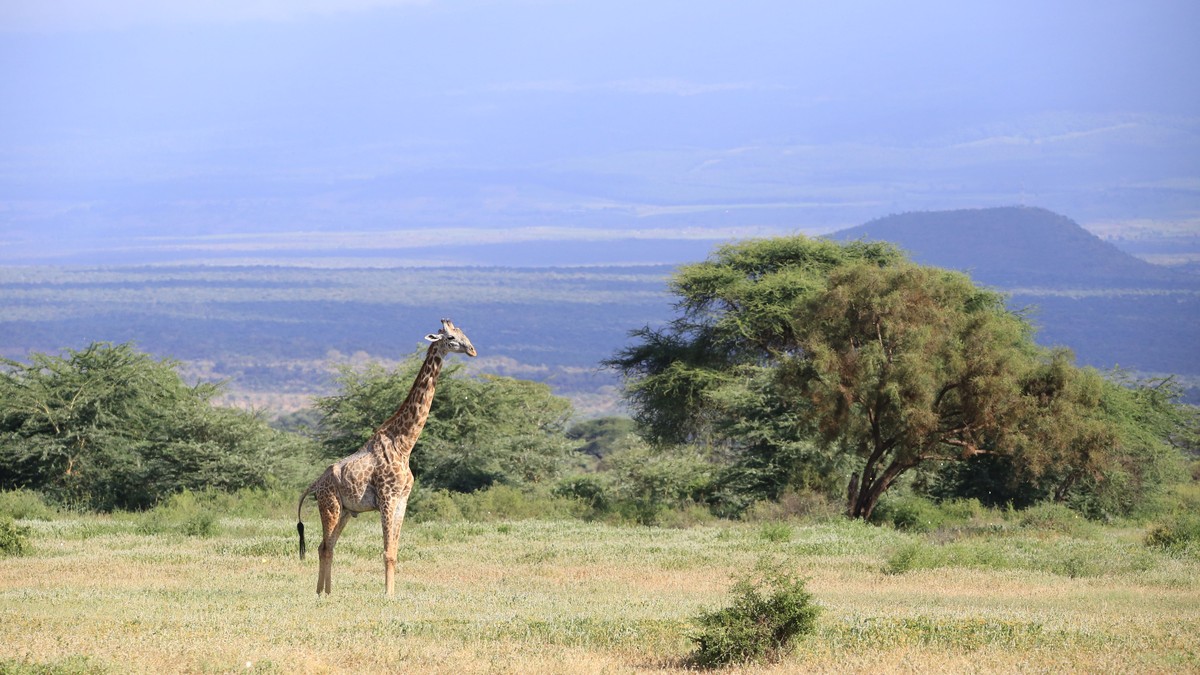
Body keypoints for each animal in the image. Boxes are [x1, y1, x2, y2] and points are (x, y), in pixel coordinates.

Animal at [296, 318, 476, 596]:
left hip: (346, 511)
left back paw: (326, 593)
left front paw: (392, 592)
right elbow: (387, 553)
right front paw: (388, 595)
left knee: (326, 546)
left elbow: (395, 551)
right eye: (451, 338)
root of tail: (315, 483)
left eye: (464, 334)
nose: (472, 350)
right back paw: (321, 593)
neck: (404, 444)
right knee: (325, 546)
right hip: (330, 506)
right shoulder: (387, 498)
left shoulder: (402, 500)